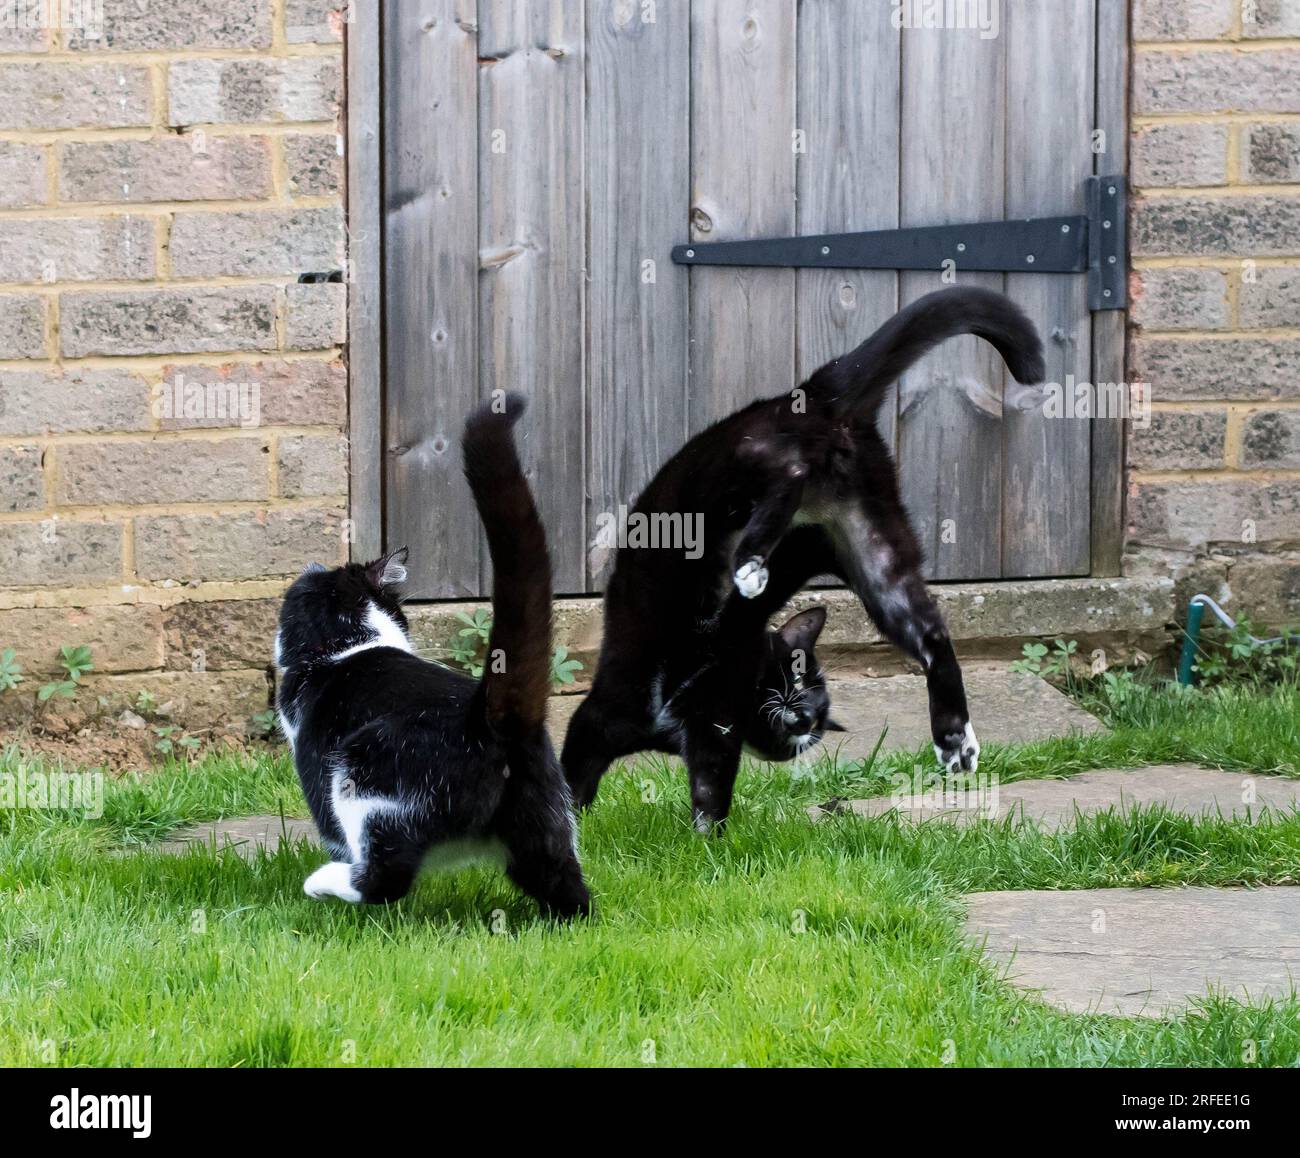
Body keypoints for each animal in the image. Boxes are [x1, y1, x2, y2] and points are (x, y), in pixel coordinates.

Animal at [282, 395, 592, 920]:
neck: (351, 644)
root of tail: (489, 718)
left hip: (363, 774)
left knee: (384, 876)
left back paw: (323, 883)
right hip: (546, 822)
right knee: (568, 888)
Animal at [561, 288, 1045, 831]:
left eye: (810, 725)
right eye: (796, 675)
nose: (799, 714)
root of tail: (814, 391)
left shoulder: (713, 732)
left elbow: (710, 794)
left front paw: (705, 844)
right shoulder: (605, 715)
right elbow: (573, 779)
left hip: (870, 542)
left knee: (931, 634)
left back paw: (954, 736)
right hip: (737, 468)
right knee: (786, 472)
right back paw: (751, 562)